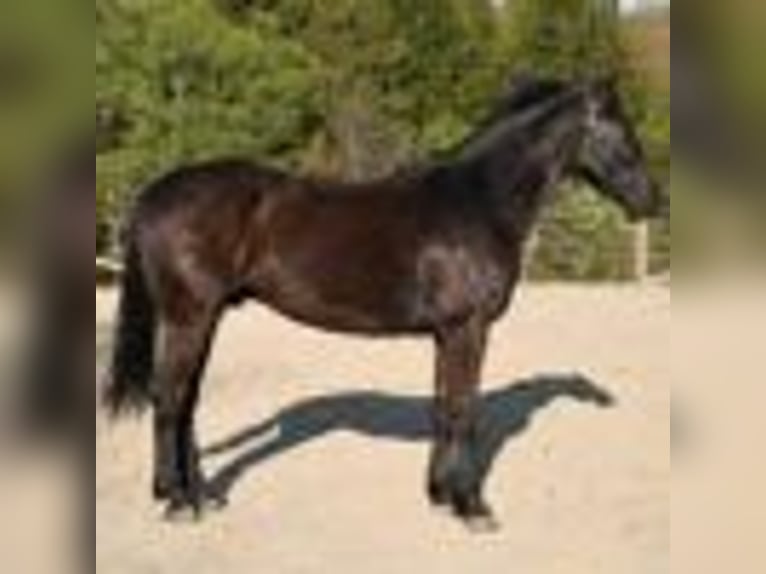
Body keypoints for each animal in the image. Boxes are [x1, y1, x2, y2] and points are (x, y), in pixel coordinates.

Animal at [103, 75, 662, 529]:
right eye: (618, 128)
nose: (652, 201)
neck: (479, 203)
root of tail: (153, 194)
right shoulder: (469, 328)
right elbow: (464, 411)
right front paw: (472, 507)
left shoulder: (447, 333)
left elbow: (443, 408)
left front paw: (440, 495)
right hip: (188, 316)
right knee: (169, 399)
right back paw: (177, 502)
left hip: (205, 316)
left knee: (187, 402)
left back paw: (200, 495)